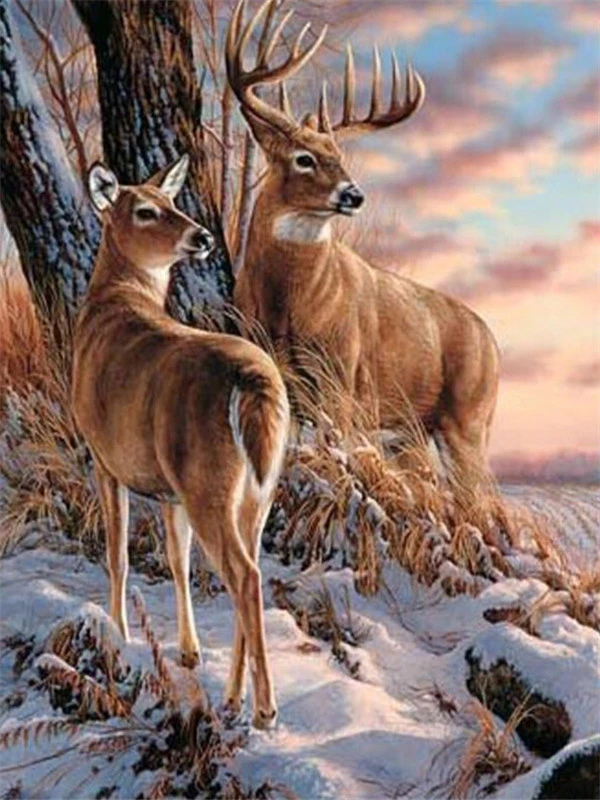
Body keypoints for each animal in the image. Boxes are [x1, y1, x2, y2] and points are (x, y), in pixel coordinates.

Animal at [72, 154, 290, 728]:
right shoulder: (166, 489)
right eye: (146, 210)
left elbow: (118, 554)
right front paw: (189, 651)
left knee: (244, 575)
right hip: (256, 490)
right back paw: (233, 698)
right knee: (248, 569)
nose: (204, 236)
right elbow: (177, 560)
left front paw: (120, 635)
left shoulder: (104, 457)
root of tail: (253, 382)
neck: (114, 304)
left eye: (172, 202)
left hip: (207, 483)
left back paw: (264, 708)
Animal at [226, 0, 500, 482]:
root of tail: (494, 345)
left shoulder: (343, 378)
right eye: (304, 159)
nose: (354, 195)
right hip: (412, 430)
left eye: (340, 157)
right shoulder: (278, 372)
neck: (288, 303)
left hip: (468, 418)